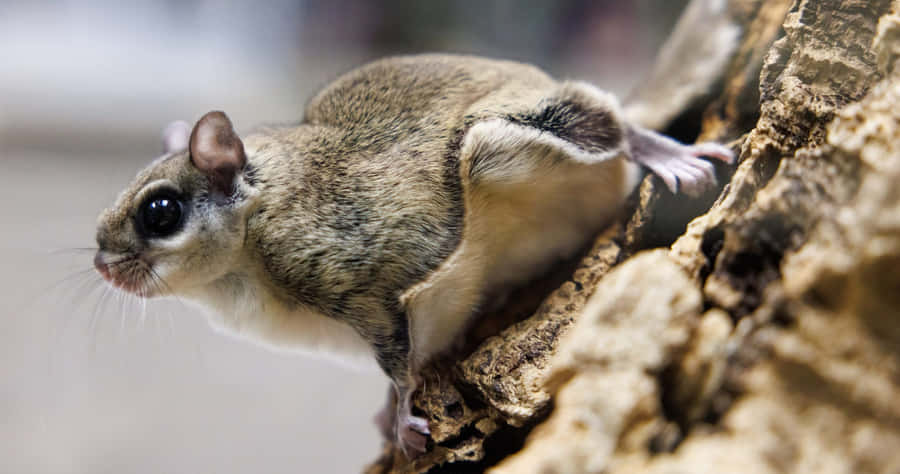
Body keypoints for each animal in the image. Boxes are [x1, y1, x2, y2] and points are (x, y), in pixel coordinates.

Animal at [93, 54, 733, 456]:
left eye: (160, 211)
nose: (102, 266)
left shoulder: (352, 276)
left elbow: (397, 359)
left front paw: (401, 417)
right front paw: (384, 414)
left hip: (512, 135)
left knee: (617, 124)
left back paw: (667, 155)